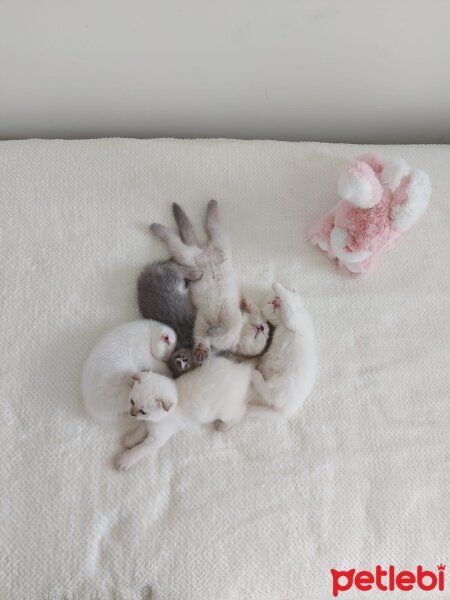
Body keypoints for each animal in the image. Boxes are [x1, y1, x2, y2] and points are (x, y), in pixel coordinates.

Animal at [117, 354, 253, 472]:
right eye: (132, 401)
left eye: (143, 411)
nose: (132, 413)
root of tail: (243, 371)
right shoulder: (148, 423)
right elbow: (139, 430)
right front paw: (129, 440)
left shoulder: (156, 438)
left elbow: (140, 449)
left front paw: (125, 460)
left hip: (226, 411)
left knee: (241, 411)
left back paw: (222, 425)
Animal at [149, 199, 268, 364]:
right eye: (264, 331)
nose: (261, 328)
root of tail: (203, 249)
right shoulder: (216, 320)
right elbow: (224, 328)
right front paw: (212, 333)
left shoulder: (203, 323)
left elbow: (203, 338)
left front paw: (202, 350)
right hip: (214, 245)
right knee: (210, 224)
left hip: (188, 254)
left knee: (184, 235)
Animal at [248, 284, 318, 420]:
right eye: (270, 302)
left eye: (276, 298)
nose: (275, 302)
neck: (281, 323)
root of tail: (286, 411)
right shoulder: (293, 318)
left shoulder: (294, 318)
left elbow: (288, 302)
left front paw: (277, 286)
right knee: (266, 393)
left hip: (282, 384)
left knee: (267, 391)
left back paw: (254, 373)